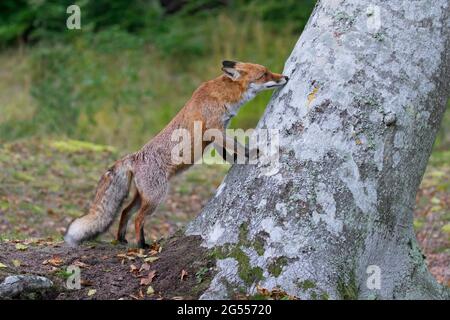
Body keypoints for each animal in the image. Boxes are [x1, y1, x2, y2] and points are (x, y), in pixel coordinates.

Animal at [64, 61, 288, 249]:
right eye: (265, 73)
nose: (285, 77)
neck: (222, 95)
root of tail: (134, 156)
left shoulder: (218, 132)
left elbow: (225, 151)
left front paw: (234, 159)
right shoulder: (215, 129)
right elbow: (238, 145)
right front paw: (251, 153)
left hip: (143, 196)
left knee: (126, 211)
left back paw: (121, 239)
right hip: (157, 196)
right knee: (138, 218)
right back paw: (142, 245)